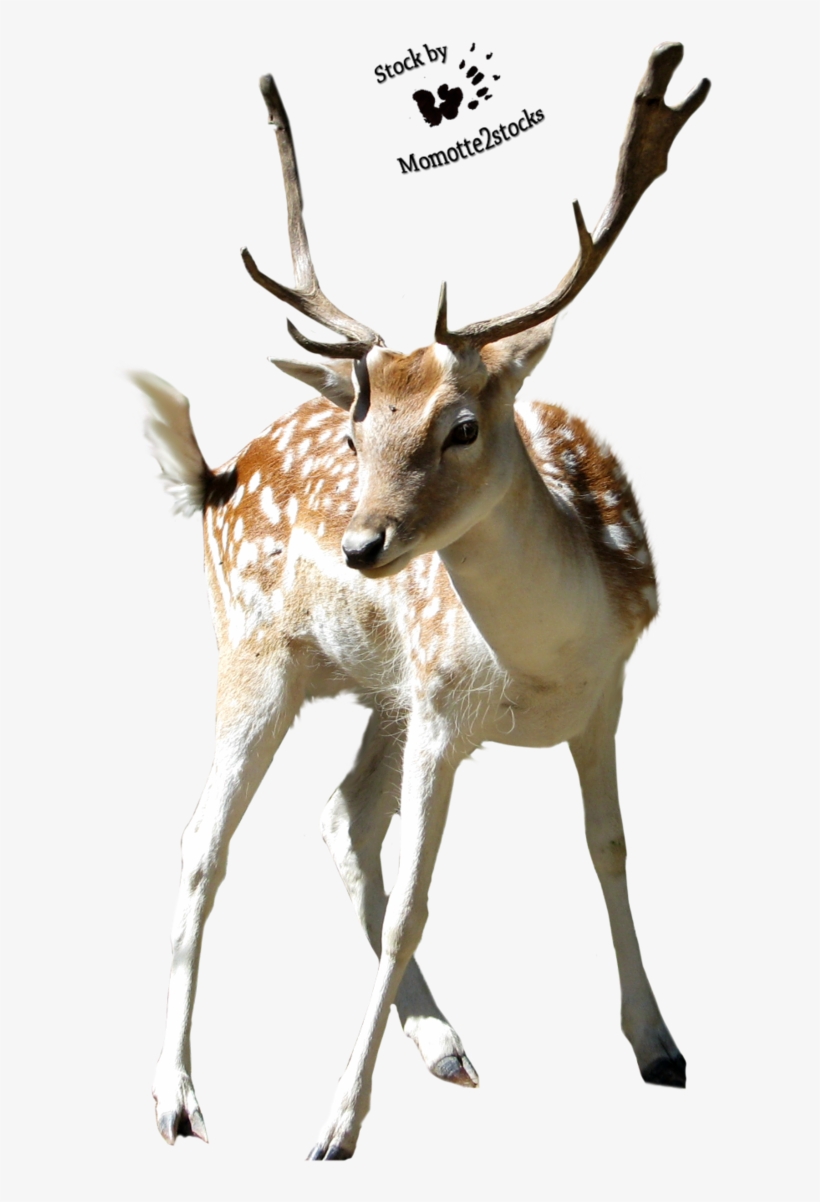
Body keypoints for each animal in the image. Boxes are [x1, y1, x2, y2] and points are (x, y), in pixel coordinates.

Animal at [134, 43, 709, 1160]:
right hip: (257, 654)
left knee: (338, 816)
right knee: (202, 841)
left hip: (379, 689)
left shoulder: (604, 694)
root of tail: (217, 475)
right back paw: (177, 1100)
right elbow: (413, 904)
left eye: (462, 425)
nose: (361, 544)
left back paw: (443, 1043)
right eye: (357, 433)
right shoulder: (444, 712)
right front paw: (334, 1124)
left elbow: (610, 848)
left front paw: (660, 1044)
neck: (542, 662)